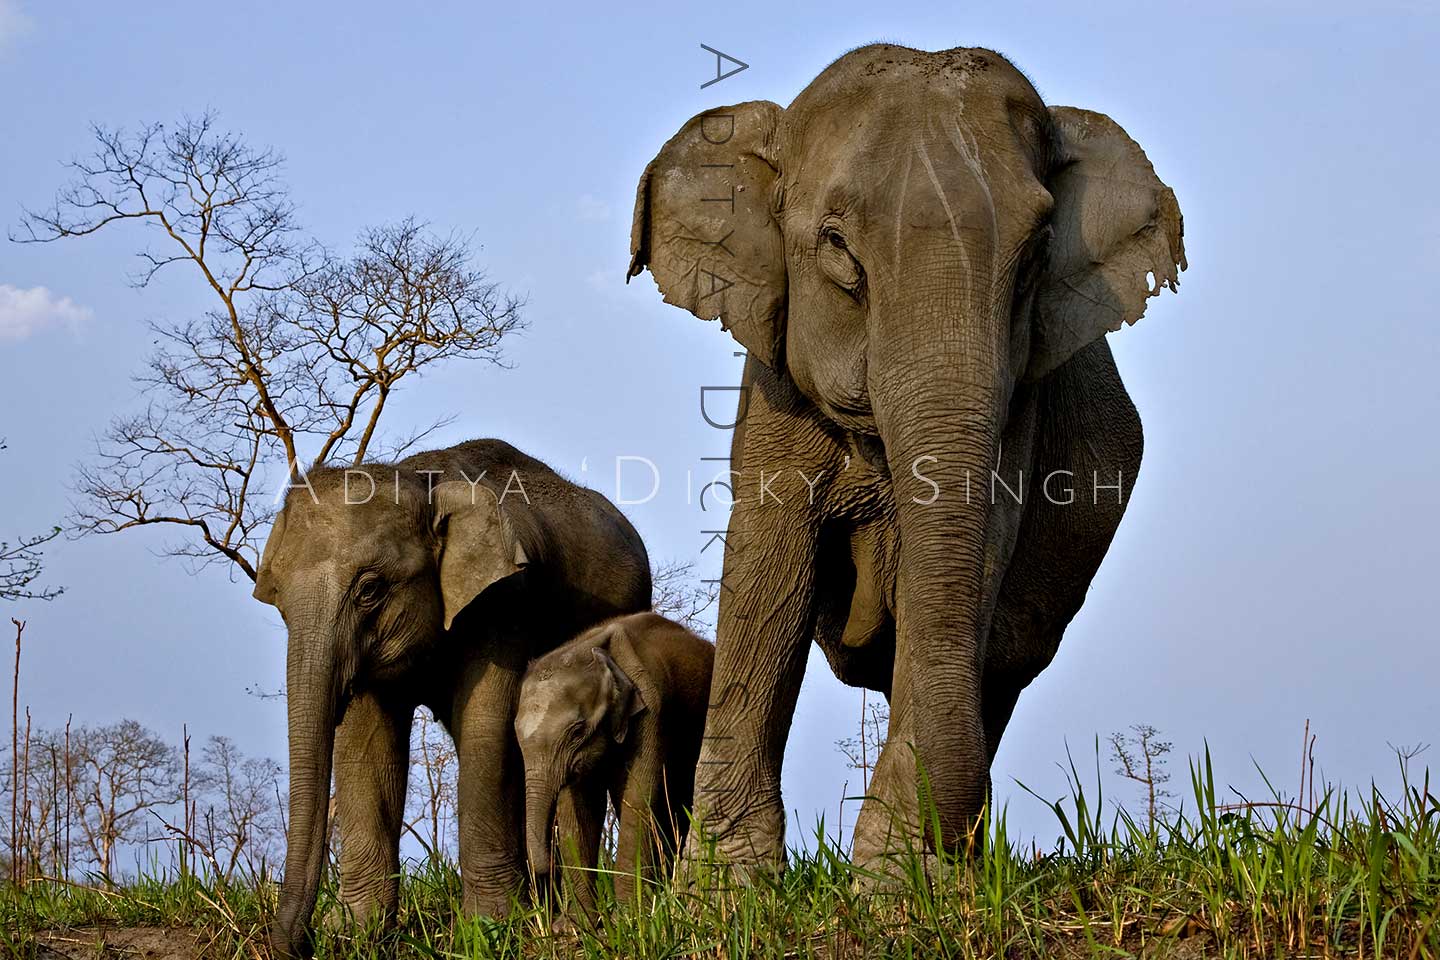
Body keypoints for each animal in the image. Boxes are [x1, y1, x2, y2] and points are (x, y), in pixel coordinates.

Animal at [252, 438, 651, 957]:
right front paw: (358, 931)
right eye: (278, 602)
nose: (299, 943)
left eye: (369, 589)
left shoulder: (503, 603)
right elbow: (365, 746)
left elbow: (488, 727)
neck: (420, 482)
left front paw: (490, 926)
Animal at [515, 612, 713, 921]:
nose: (544, 880)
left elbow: (637, 796)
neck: (594, 650)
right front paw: (578, 924)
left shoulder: (652, 706)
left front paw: (629, 918)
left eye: (577, 731)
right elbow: (577, 809)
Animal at [626, 44, 1186, 867]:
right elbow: (768, 572)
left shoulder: (1017, 412)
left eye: (1037, 256)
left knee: (996, 669)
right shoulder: (773, 388)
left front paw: (896, 878)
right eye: (836, 245)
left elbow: (973, 566)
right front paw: (725, 886)